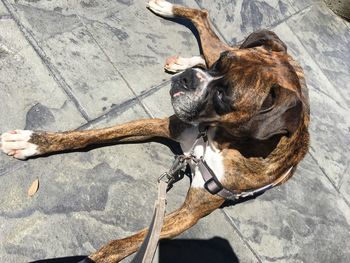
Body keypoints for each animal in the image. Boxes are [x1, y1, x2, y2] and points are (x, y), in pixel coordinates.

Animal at [1, 0, 310, 262]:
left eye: (223, 95)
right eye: (222, 63)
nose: (188, 80)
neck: (218, 139)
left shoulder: (188, 214)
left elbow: (124, 243)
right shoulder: (164, 125)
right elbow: (88, 137)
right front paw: (33, 142)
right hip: (217, 46)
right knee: (202, 20)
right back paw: (173, 22)